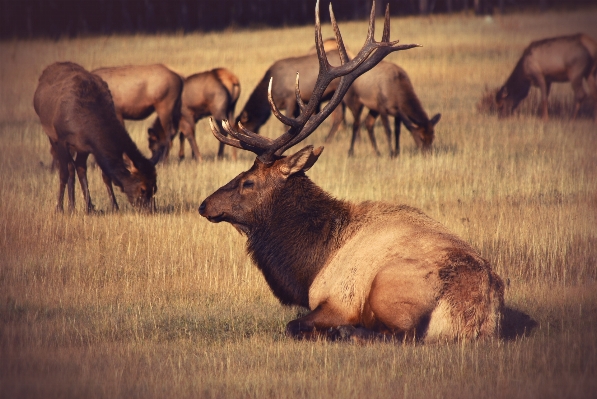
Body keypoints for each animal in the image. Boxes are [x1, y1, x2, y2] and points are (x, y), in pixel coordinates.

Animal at [34, 62, 157, 212]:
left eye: (155, 188)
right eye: (142, 189)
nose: (151, 210)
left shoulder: (89, 146)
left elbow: (104, 175)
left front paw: (113, 206)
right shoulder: (62, 140)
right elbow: (63, 173)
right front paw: (59, 208)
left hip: (79, 148)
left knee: (78, 168)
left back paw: (82, 206)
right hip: (51, 136)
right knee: (69, 168)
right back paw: (71, 206)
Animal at [200, 0, 502, 344]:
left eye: (247, 181)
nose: (204, 204)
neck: (309, 265)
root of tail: (479, 316)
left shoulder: (337, 299)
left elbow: (294, 324)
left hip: (389, 285)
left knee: (397, 334)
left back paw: (344, 332)